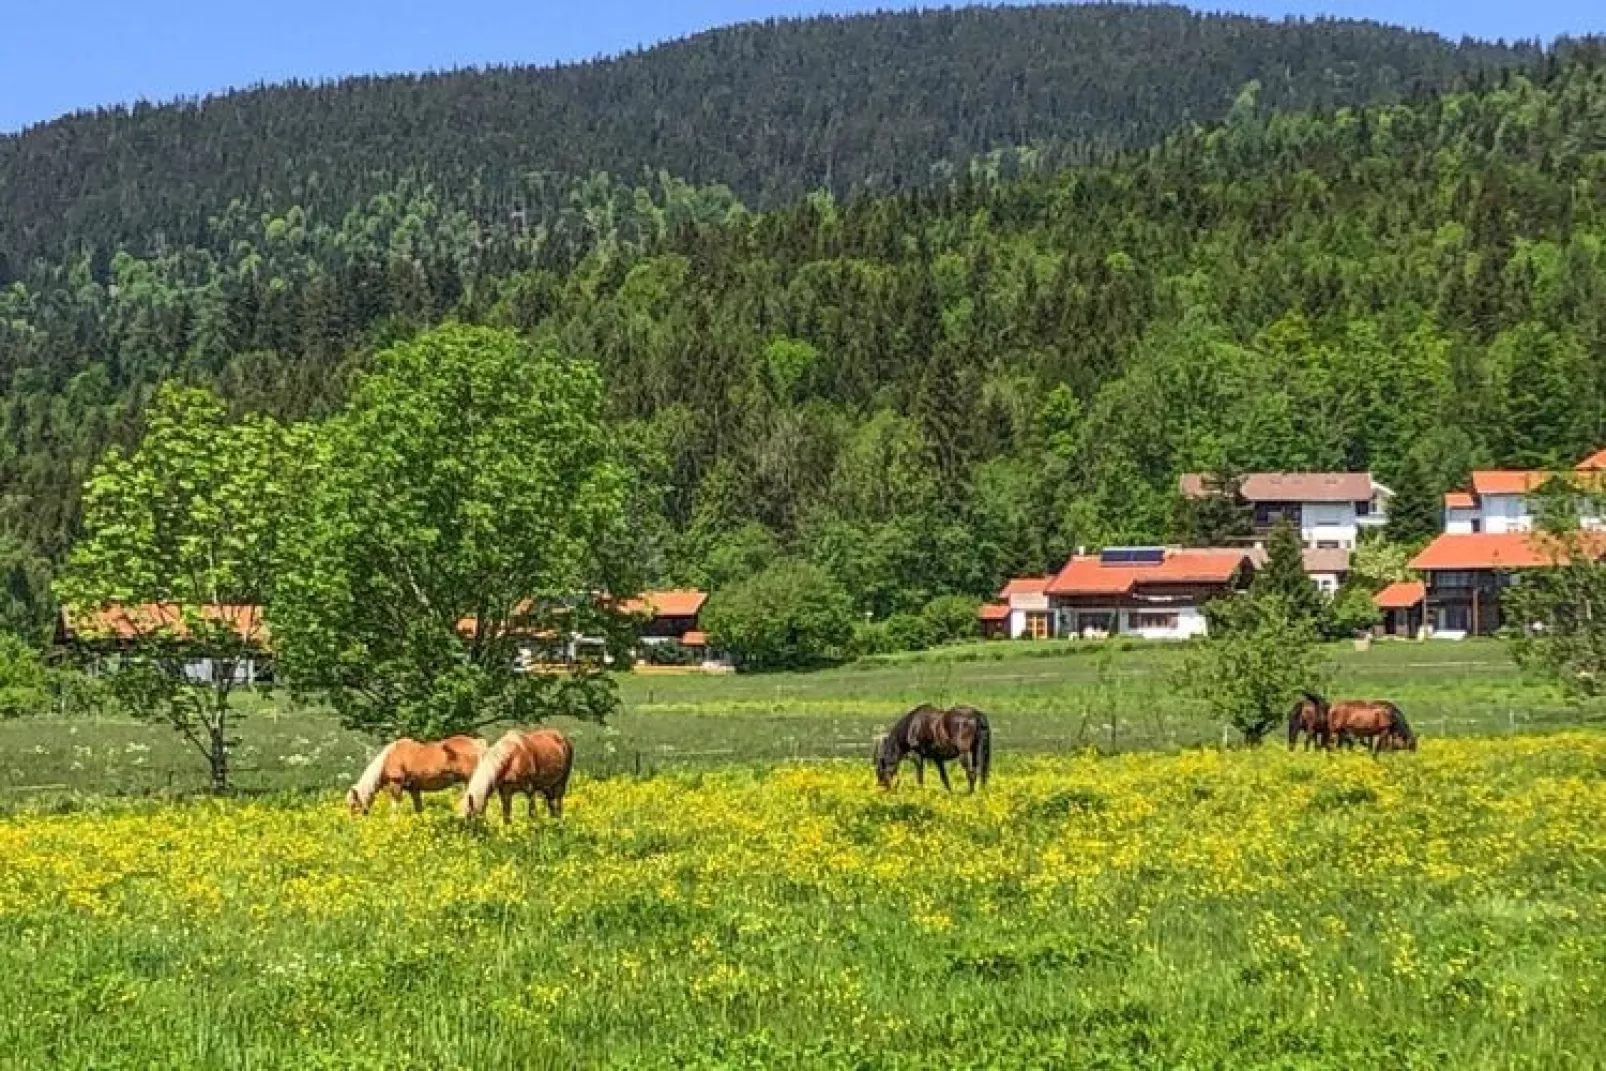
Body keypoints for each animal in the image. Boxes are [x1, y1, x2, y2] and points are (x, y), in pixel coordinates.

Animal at [345, 732, 481, 815]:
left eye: (353, 805)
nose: (353, 824)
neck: (389, 757)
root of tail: (476, 743)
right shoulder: (414, 789)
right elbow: (418, 809)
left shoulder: (396, 785)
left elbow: (394, 810)